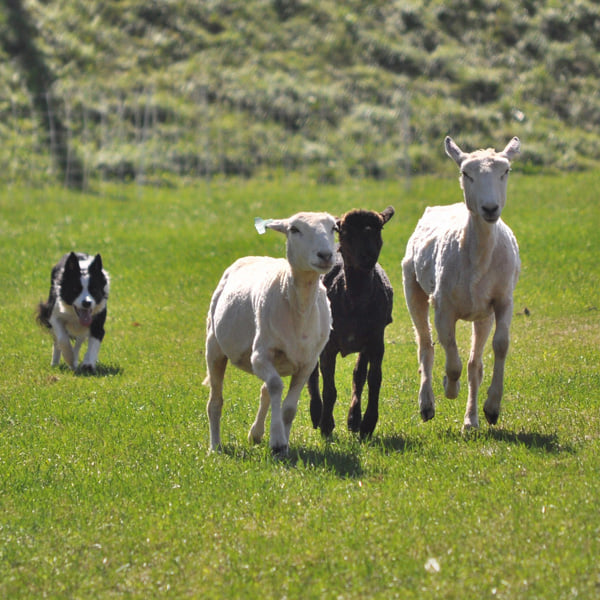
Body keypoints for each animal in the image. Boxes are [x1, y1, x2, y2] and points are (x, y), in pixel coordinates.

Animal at [205, 211, 338, 454]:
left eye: (334, 228)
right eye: (294, 229)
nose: (325, 255)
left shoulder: (307, 364)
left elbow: (289, 408)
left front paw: (282, 445)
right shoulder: (259, 355)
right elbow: (276, 385)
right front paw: (276, 440)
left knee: (264, 390)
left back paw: (256, 434)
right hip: (214, 346)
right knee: (215, 401)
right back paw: (215, 447)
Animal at [310, 205, 394, 436]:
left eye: (379, 229)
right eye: (346, 232)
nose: (368, 256)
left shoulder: (375, 340)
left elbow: (373, 380)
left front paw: (367, 424)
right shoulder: (329, 344)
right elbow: (329, 388)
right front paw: (326, 426)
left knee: (359, 375)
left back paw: (353, 419)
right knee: (312, 372)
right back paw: (316, 414)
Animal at [404, 135, 520, 432]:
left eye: (506, 171)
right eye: (466, 173)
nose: (490, 208)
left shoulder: (503, 300)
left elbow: (500, 346)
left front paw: (492, 408)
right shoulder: (443, 305)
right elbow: (450, 357)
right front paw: (449, 387)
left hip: (482, 314)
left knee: (474, 364)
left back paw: (471, 421)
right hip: (412, 286)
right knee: (425, 346)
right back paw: (427, 404)